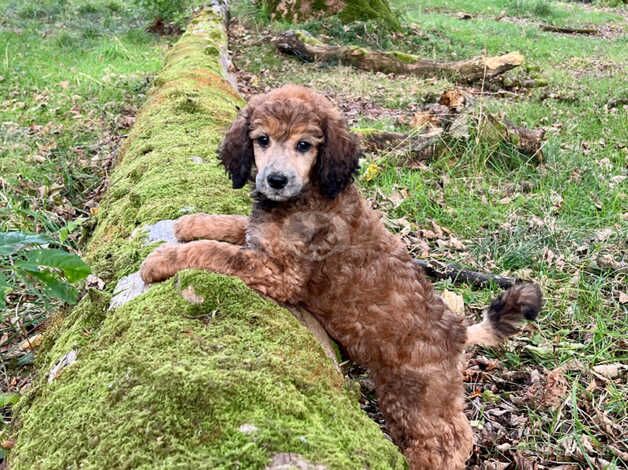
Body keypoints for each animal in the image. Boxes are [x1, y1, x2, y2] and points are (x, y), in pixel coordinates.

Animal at [140, 85, 544, 470]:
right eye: (262, 140)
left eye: (304, 145)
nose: (276, 180)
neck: (307, 194)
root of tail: (458, 330)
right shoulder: (262, 240)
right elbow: (235, 225)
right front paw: (192, 222)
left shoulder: (282, 273)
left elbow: (219, 252)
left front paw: (162, 259)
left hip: (416, 394)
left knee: (450, 440)